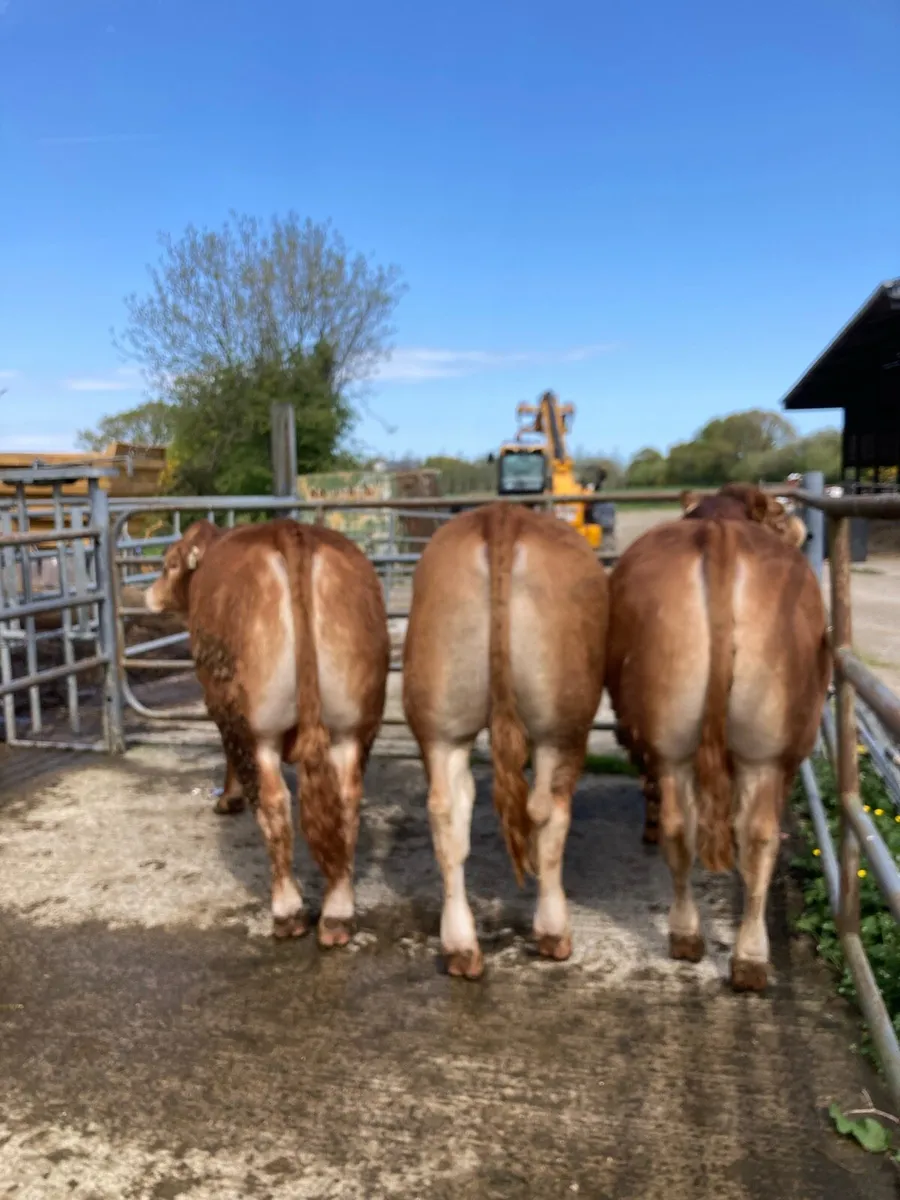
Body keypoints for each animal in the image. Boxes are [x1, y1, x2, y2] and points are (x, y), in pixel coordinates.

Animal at [145, 517, 390, 946]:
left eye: (168, 564)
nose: (149, 594)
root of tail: (291, 532)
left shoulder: (221, 708)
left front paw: (228, 799)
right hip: (354, 725)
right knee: (346, 801)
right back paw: (338, 914)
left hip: (256, 729)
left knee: (274, 804)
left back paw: (287, 912)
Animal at [402, 501, 609, 979]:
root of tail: (501, 515)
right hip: (562, 726)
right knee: (547, 812)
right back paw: (554, 932)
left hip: (441, 723)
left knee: (447, 813)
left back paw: (461, 947)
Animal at [606, 516, 830, 990]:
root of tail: (720, 532)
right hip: (765, 754)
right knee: (758, 837)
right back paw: (748, 955)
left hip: (674, 741)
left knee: (683, 827)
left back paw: (690, 937)